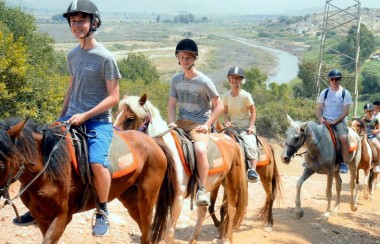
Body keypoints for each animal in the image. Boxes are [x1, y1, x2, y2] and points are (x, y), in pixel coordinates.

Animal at [0, 117, 178, 243]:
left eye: (1, 163)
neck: (47, 170)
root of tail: (153, 142)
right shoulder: (42, 218)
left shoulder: (62, 217)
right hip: (130, 199)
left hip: (147, 198)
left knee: (147, 234)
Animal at [114, 94, 248, 243]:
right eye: (115, 114)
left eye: (130, 118)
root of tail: (230, 140)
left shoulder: (177, 198)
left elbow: (169, 233)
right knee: (203, 212)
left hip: (231, 183)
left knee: (231, 209)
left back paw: (227, 238)